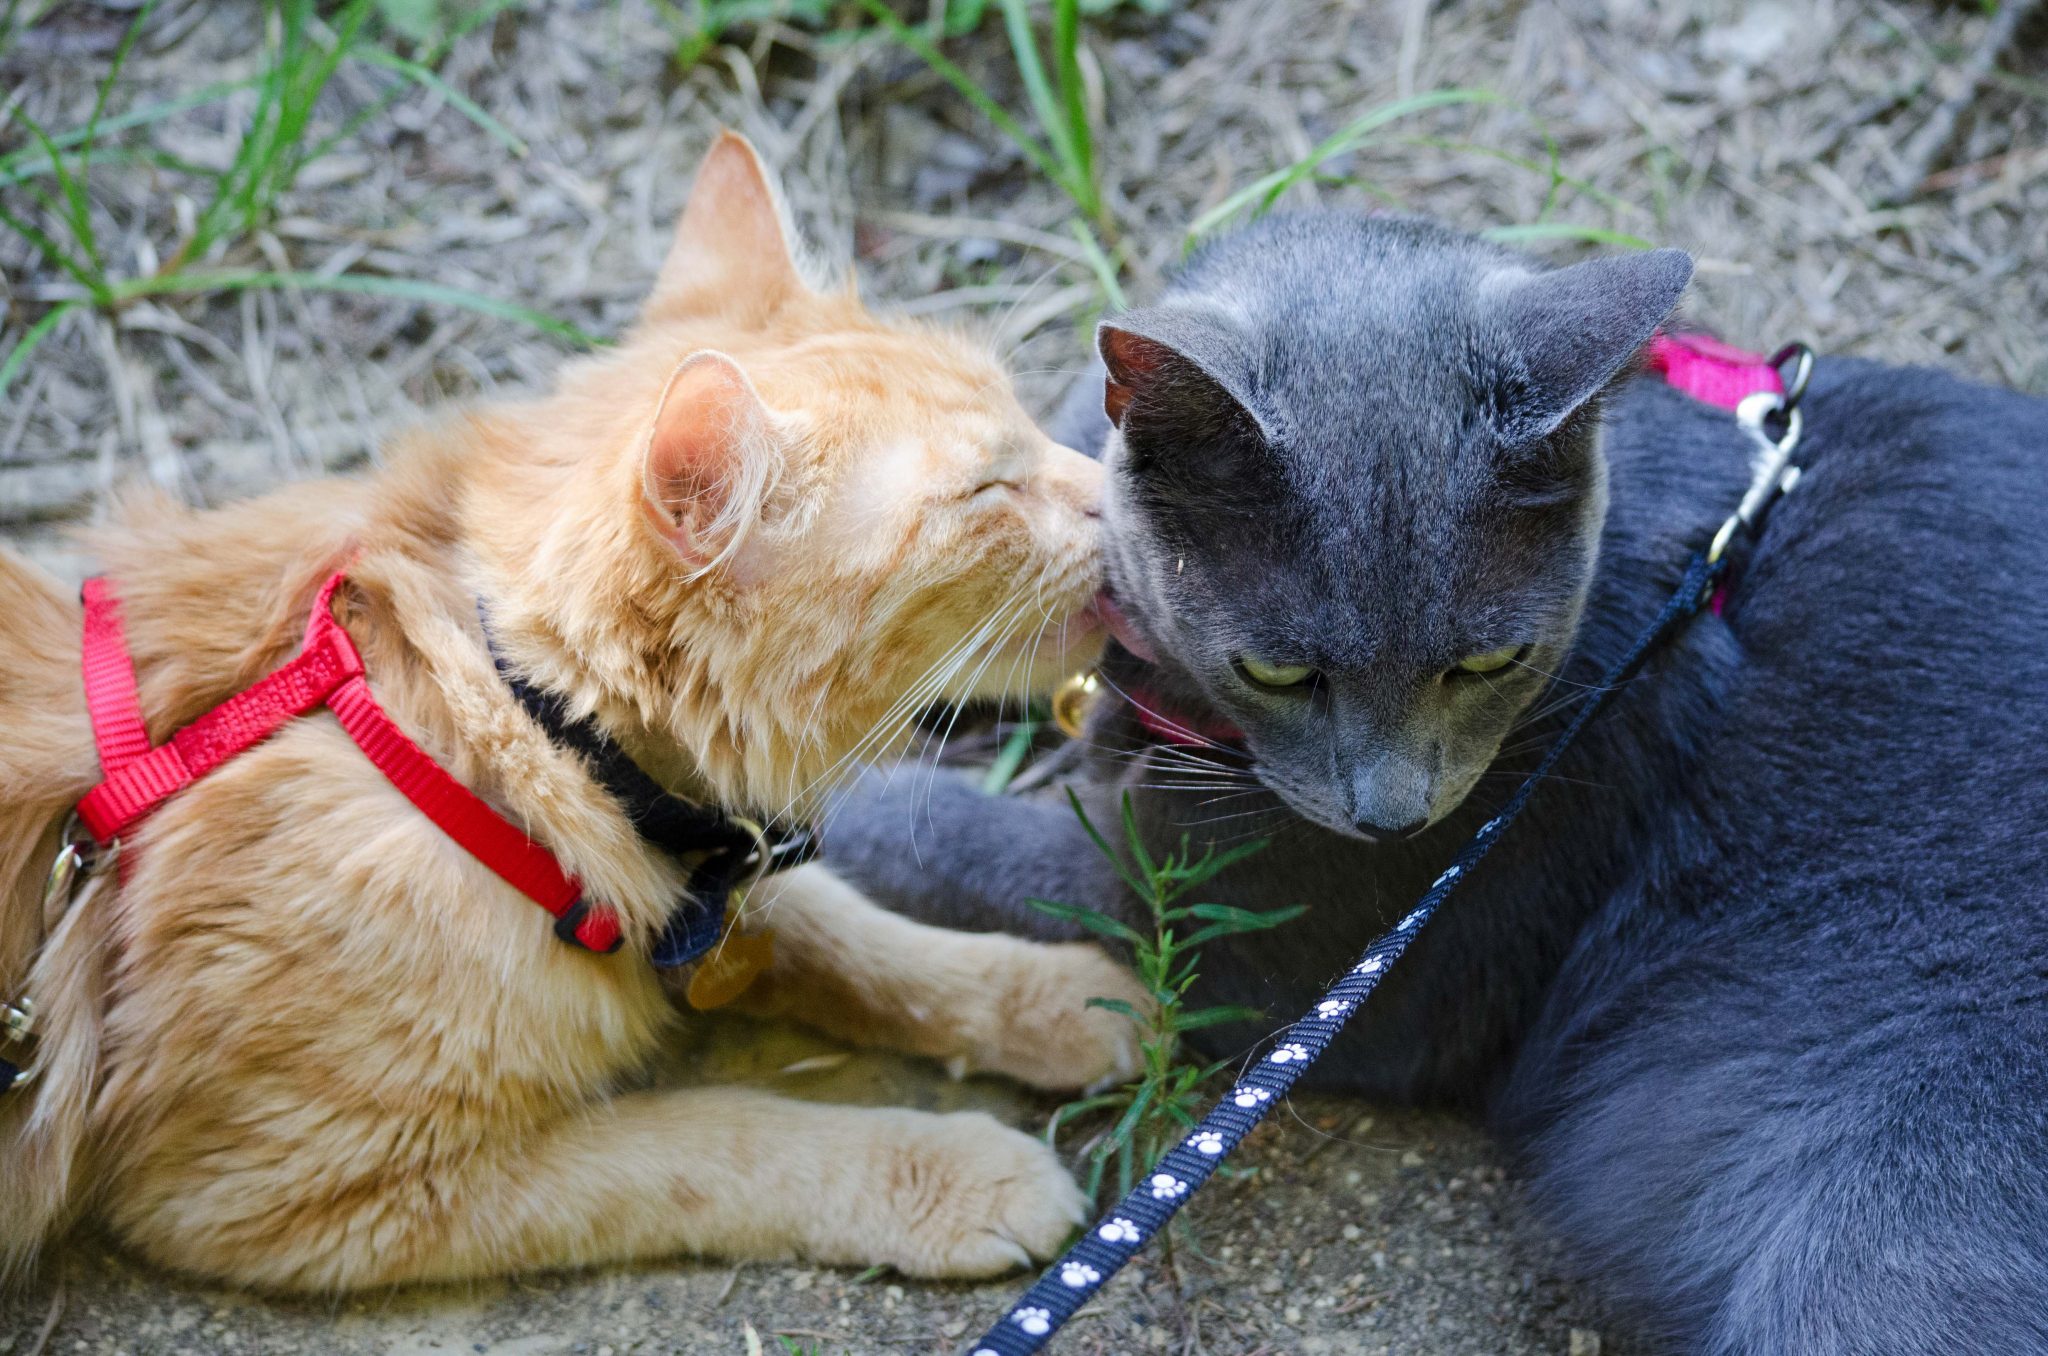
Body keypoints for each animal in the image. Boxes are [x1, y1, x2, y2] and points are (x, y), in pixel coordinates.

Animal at [0, 135, 1146, 1294]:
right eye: (987, 492)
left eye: (1026, 425)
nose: (1122, 499)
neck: (499, 721)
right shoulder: (283, 1186)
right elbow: (716, 1140)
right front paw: (945, 1174)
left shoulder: (707, 873)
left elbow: (859, 935)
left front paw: (1059, 999)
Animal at [823, 215, 2048, 1356]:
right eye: (1281, 671)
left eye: (1489, 662)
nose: (1393, 813)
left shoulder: (1235, 943)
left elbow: (982, 852)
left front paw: (835, 812)